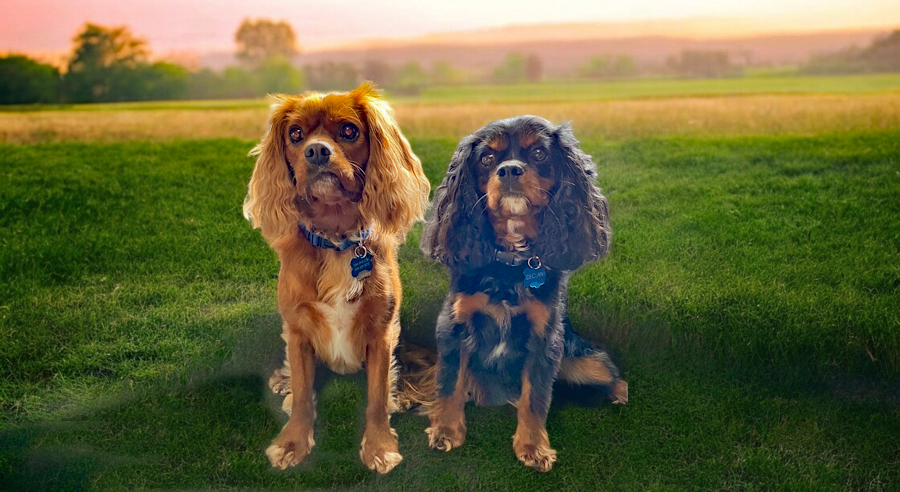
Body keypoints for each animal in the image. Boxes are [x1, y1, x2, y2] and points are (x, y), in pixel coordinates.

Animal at [244, 82, 430, 474]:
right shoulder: (298, 330)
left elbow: (377, 395)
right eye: (295, 134)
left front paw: (379, 446)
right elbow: (303, 395)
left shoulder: (381, 332)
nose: (316, 150)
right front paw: (293, 443)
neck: (335, 240)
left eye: (348, 130)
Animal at [420, 115, 624, 472]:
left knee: (612, 376)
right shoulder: (454, 326)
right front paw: (445, 430)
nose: (510, 170)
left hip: (583, 359)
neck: (512, 260)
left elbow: (535, 396)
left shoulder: (545, 339)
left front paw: (533, 447)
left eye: (539, 153)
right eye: (487, 158)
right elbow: (449, 381)